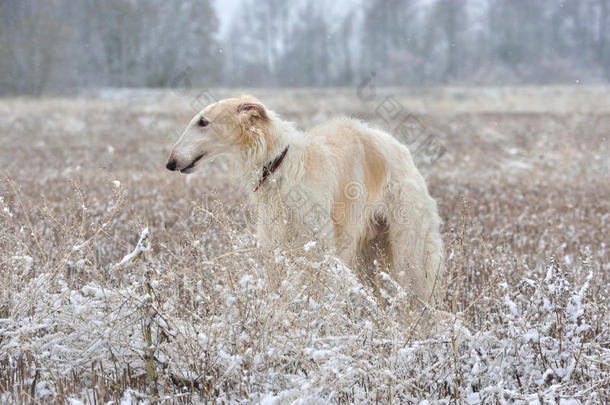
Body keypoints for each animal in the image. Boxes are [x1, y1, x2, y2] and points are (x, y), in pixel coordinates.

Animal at [166, 96, 442, 302]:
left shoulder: (318, 246)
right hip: (370, 252)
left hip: (407, 248)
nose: (170, 162)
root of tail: (404, 151)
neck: (279, 163)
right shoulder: (275, 245)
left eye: (203, 121)